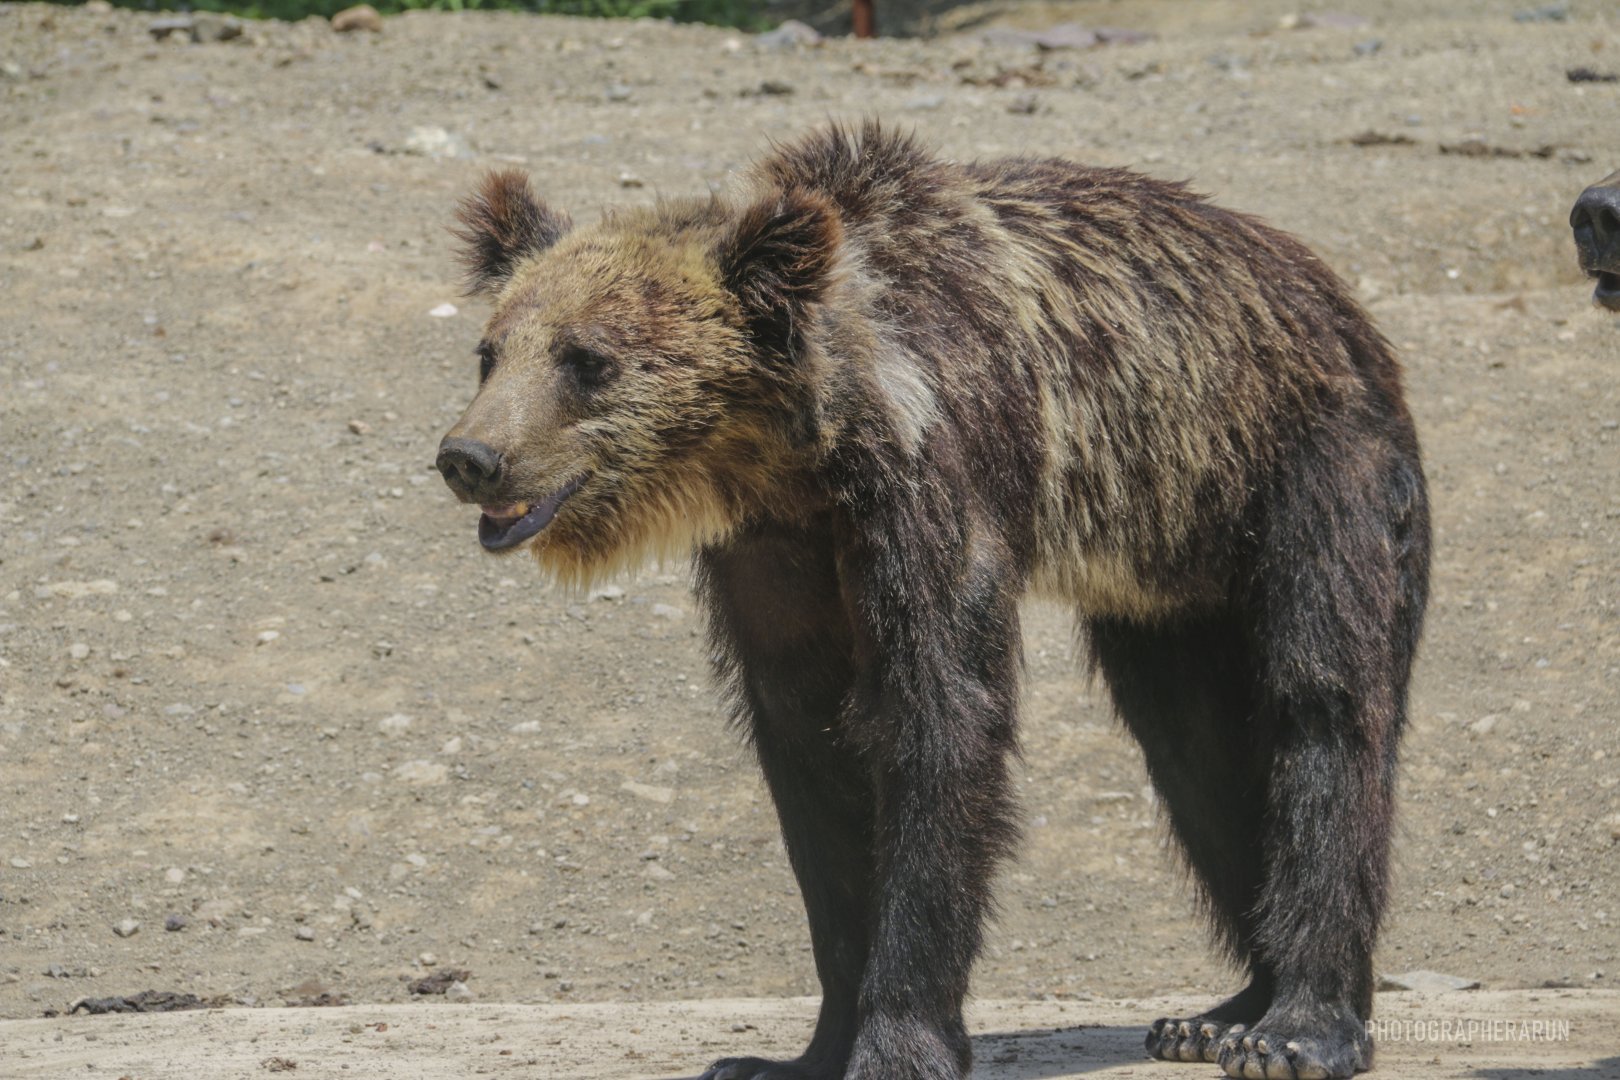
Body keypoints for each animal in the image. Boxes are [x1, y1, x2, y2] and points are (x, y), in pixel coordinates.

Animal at [435, 123, 1430, 1080]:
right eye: (491, 351)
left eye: (586, 359)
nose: (470, 456)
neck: (804, 449)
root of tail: (1337, 301)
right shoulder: (774, 557)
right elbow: (811, 756)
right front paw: (791, 1053)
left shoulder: (933, 488)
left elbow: (938, 724)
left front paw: (897, 1045)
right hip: (1170, 574)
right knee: (1196, 746)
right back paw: (1219, 1012)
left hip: (1301, 471)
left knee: (1322, 708)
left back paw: (1294, 1026)